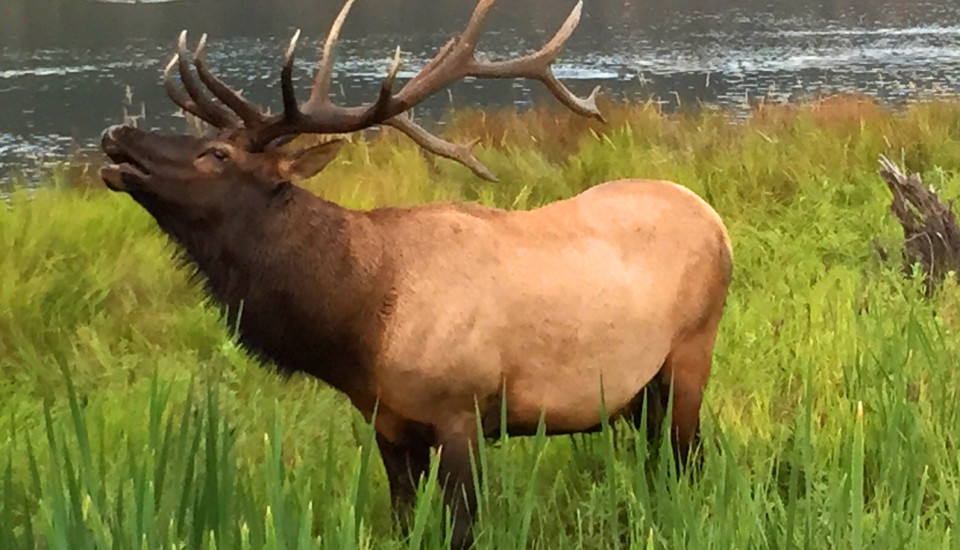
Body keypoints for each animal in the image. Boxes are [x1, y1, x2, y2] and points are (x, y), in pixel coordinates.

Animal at [98, 1, 733, 547]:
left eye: (218, 156)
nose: (117, 135)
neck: (358, 323)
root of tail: (715, 220)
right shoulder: (388, 422)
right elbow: (404, 521)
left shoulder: (460, 410)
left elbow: (463, 528)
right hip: (639, 392)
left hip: (690, 352)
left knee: (689, 460)